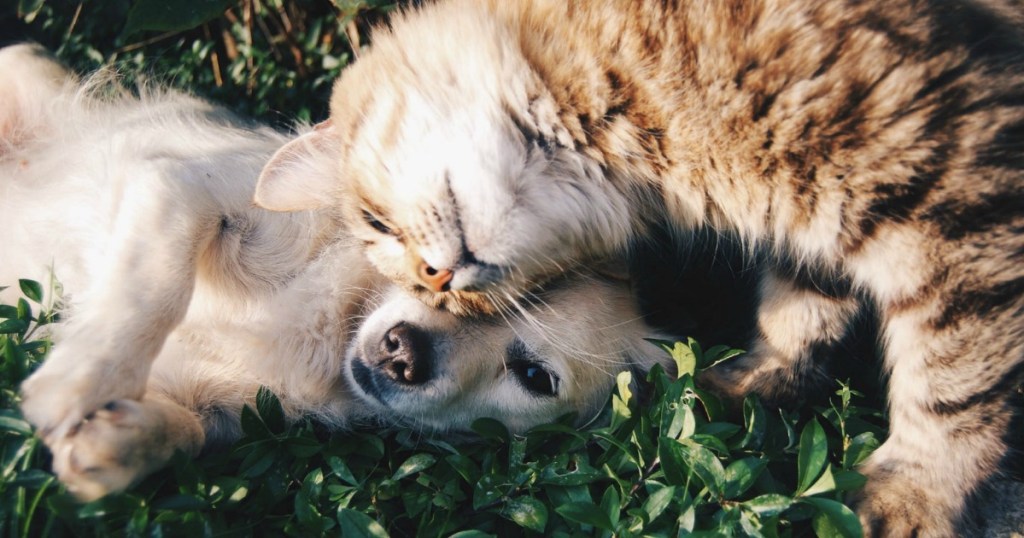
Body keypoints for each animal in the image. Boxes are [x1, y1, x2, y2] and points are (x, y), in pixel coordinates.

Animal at [2, 45, 679, 500]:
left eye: (535, 377)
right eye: (435, 272)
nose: (404, 352)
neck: (332, 328)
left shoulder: (221, 409)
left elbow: (187, 433)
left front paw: (116, 442)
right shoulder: (181, 187)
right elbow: (153, 288)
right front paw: (79, 380)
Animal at [253, 1, 1024, 532]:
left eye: (378, 225)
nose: (439, 282)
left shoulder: (953, 193)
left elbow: (951, 383)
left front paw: (916, 494)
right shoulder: (820, 221)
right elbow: (800, 310)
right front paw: (752, 383)